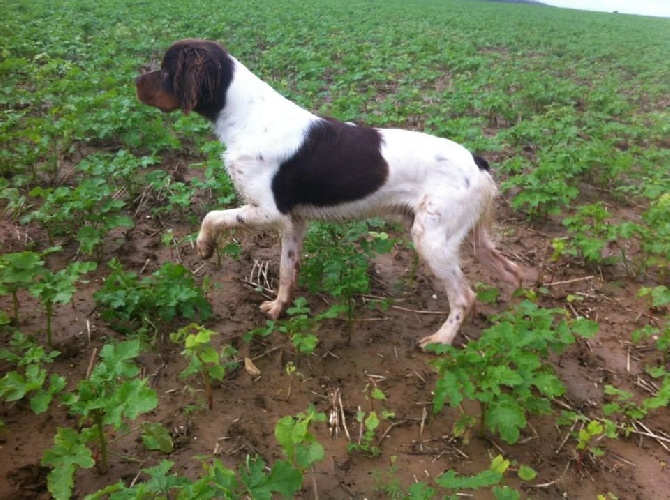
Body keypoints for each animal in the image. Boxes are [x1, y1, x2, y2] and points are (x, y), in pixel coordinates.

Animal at [136, 39, 524, 348]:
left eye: (166, 70)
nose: (134, 81)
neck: (247, 117)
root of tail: (478, 161)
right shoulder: (293, 223)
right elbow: (287, 271)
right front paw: (279, 308)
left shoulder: (269, 210)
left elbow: (212, 215)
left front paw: (204, 246)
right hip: (468, 237)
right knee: (513, 271)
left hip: (431, 238)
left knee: (465, 297)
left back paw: (441, 340)